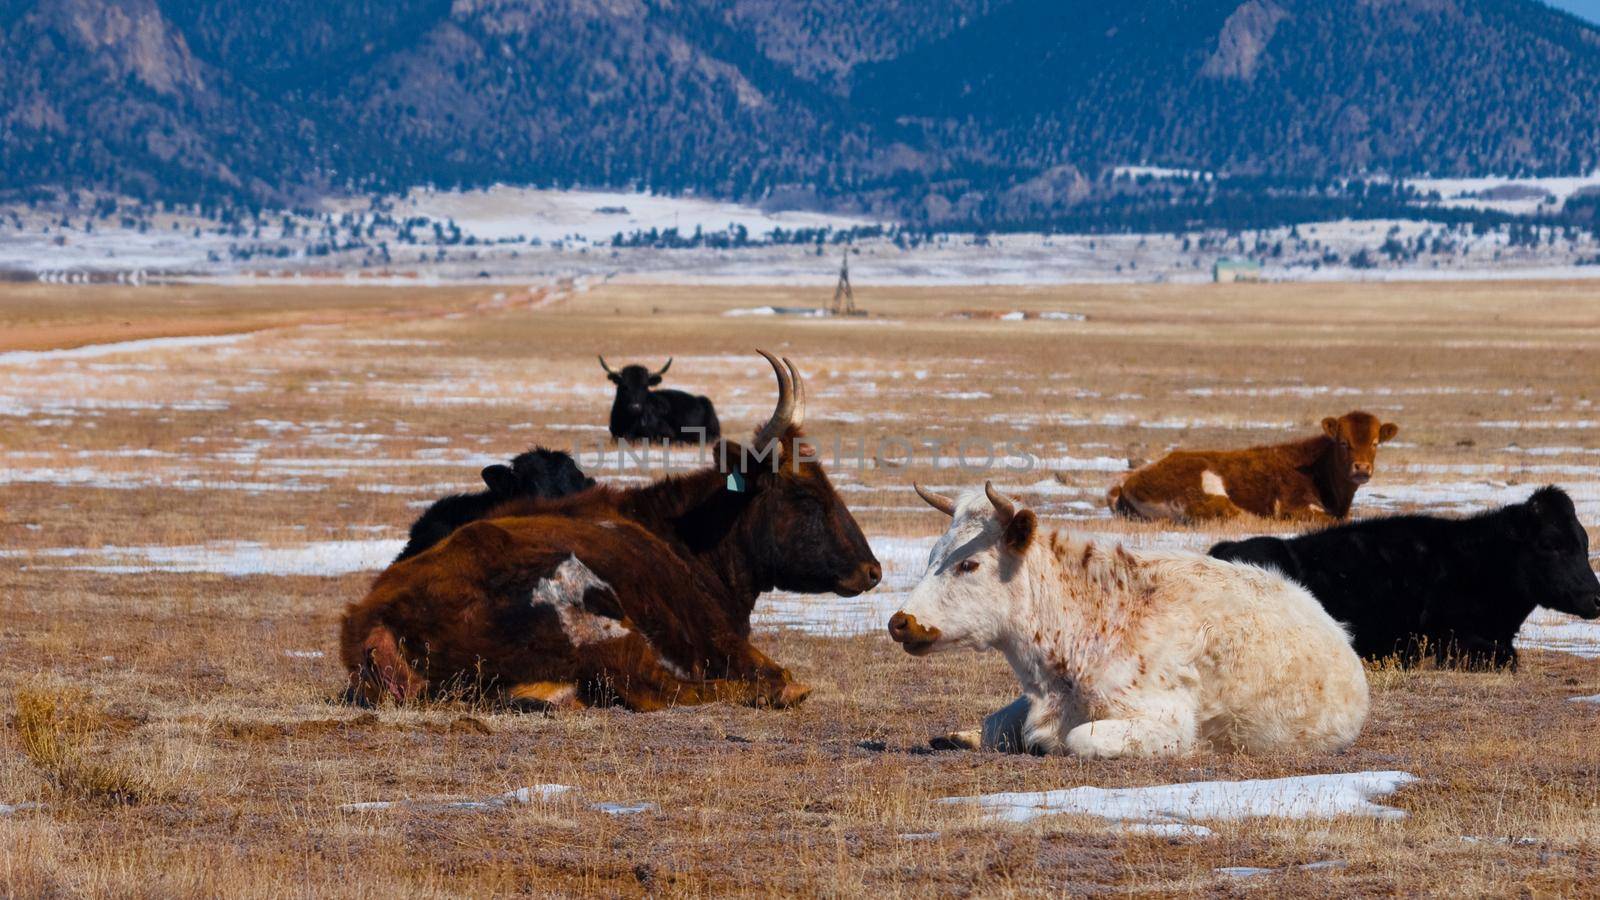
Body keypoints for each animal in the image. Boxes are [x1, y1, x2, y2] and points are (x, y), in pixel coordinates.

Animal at [889, 483, 1363, 755]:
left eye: (969, 564)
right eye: (933, 556)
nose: (900, 622)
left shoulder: (1163, 721)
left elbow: (1079, 740)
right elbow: (995, 725)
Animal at [1107, 409, 1395, 522]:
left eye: (1375, 443)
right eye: (1344, 442)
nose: (1361, 468)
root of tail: (1128, 481)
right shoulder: (1297, 505)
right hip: (1205, 485)